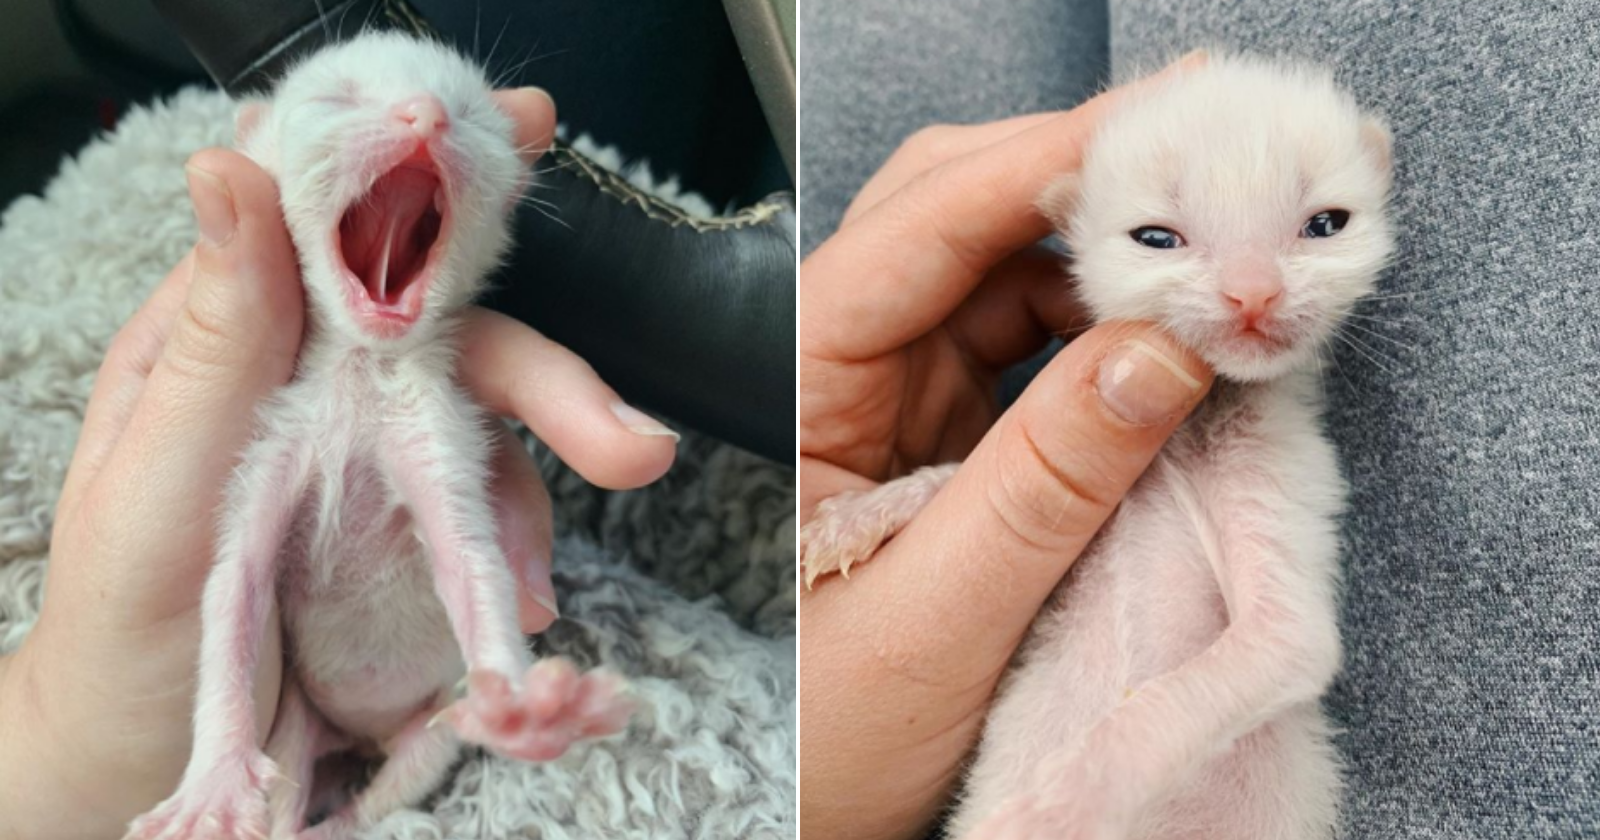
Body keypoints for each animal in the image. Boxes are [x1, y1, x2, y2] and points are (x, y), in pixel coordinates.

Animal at [806, 54, 1395, 838]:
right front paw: (862, 512)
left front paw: (1057, 802)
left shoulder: (1280, 482)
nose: (1253, 293)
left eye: (1325, 224)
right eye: (1157, 237)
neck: (1193, 424)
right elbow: (963, 466)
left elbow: (1273, 646)